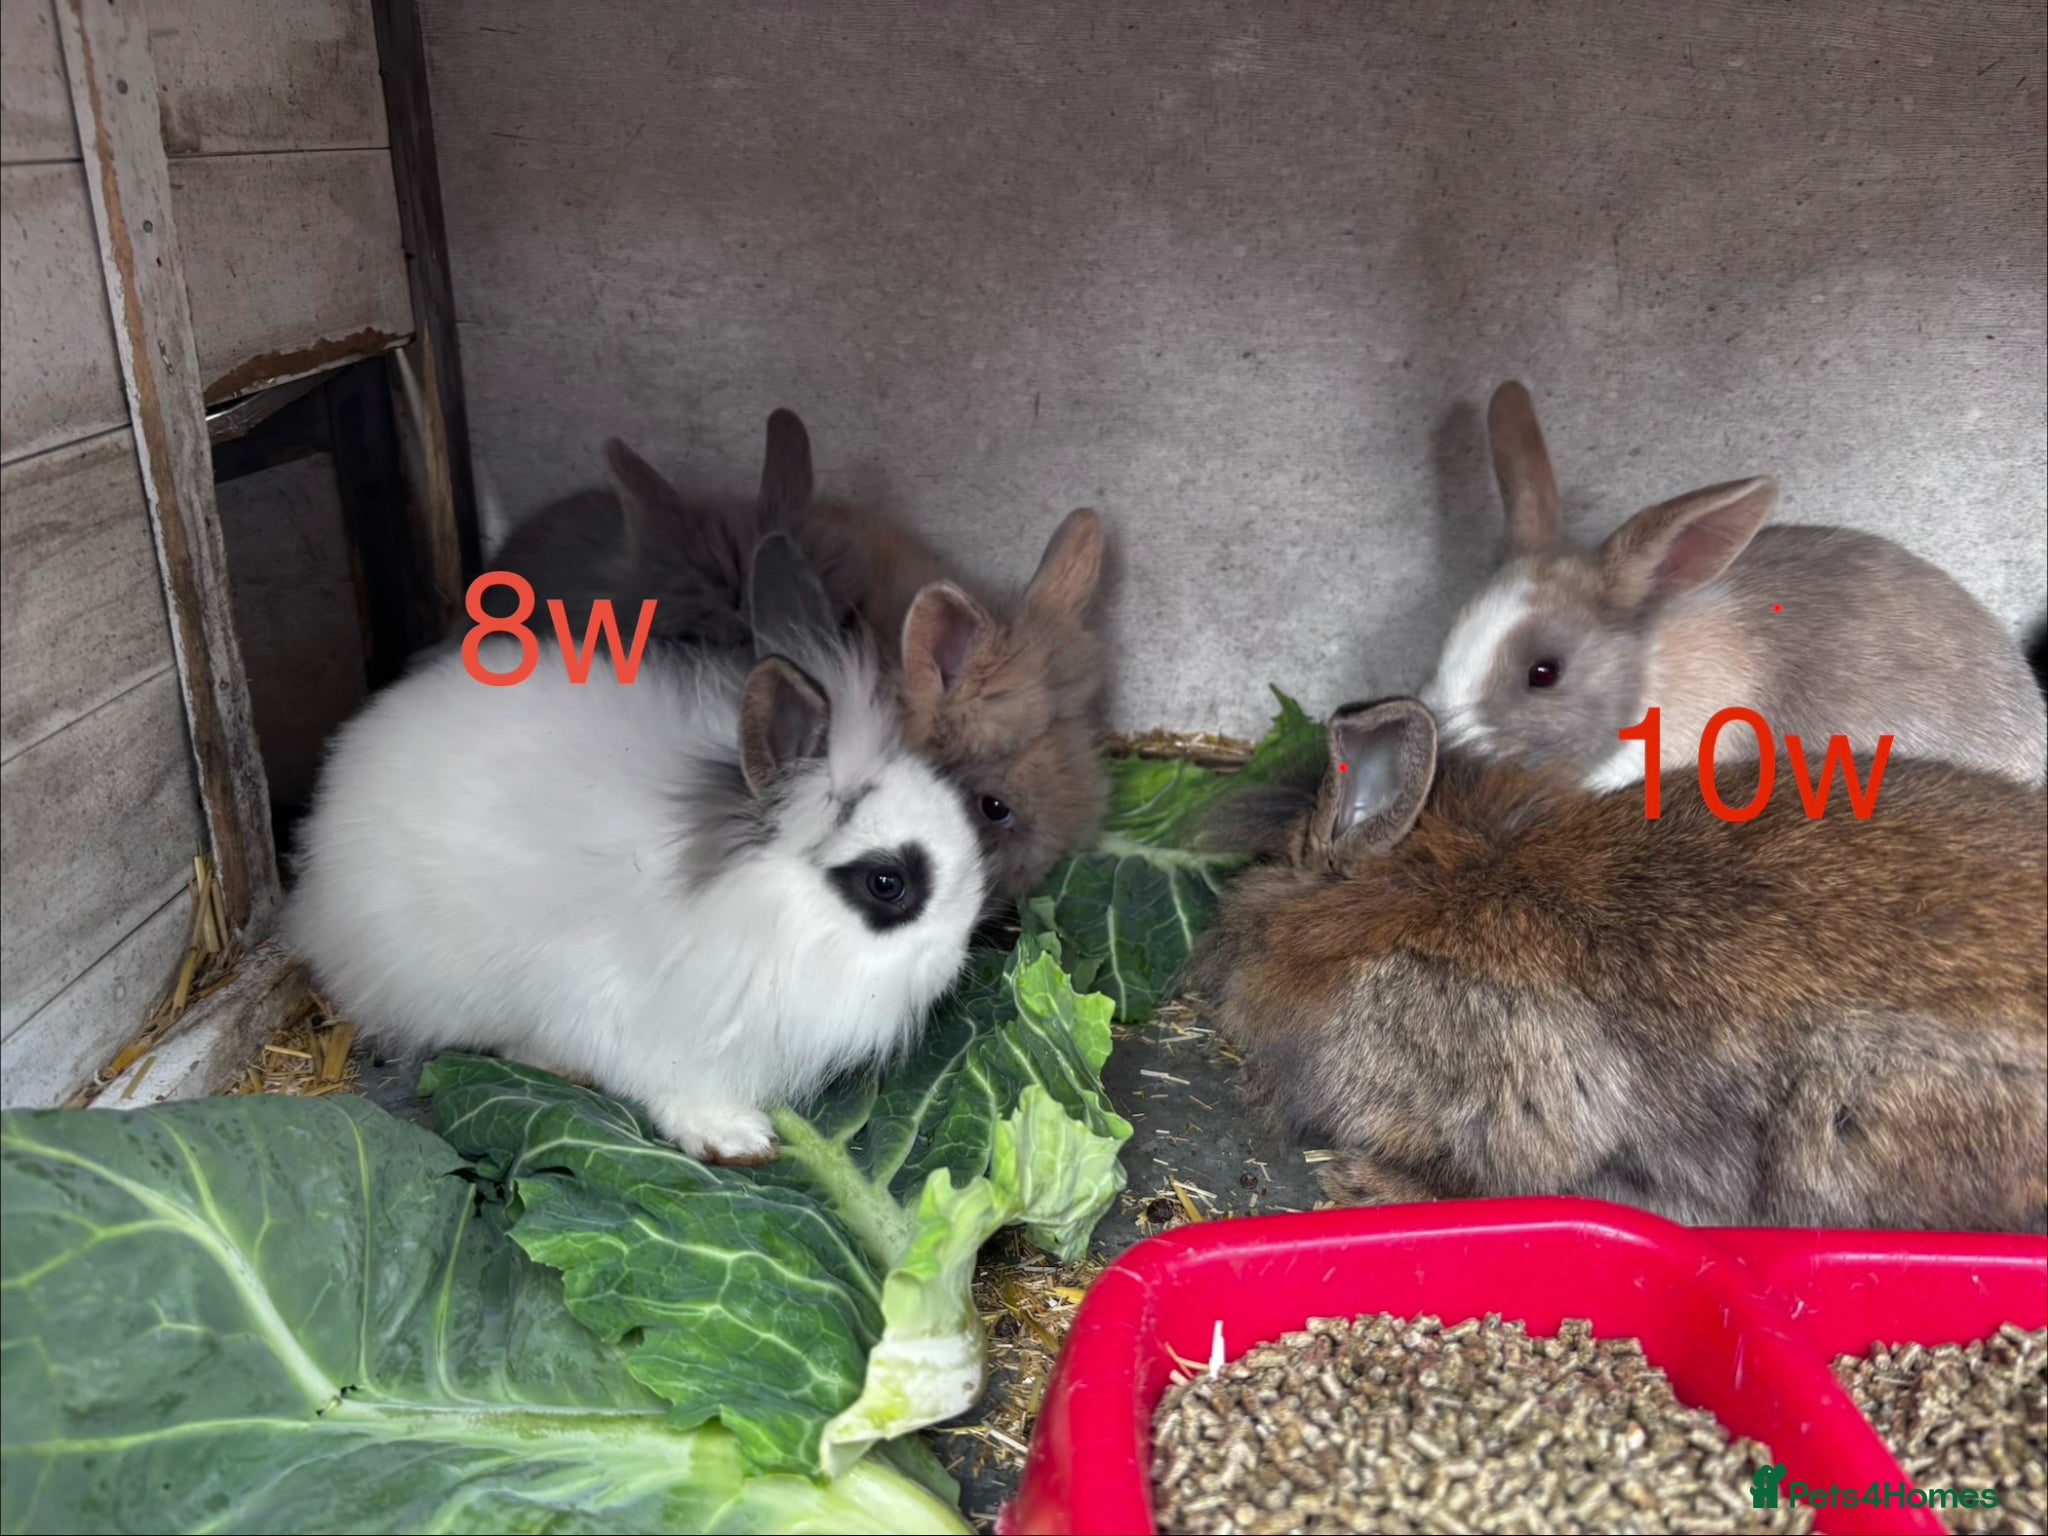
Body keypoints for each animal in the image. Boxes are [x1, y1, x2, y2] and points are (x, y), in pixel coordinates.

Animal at [281, 542, 989, 1164]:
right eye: (887, 884)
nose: (953, 960)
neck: (759, 911)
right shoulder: (642, 1027)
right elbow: (676, 1089)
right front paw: (735, 1138)